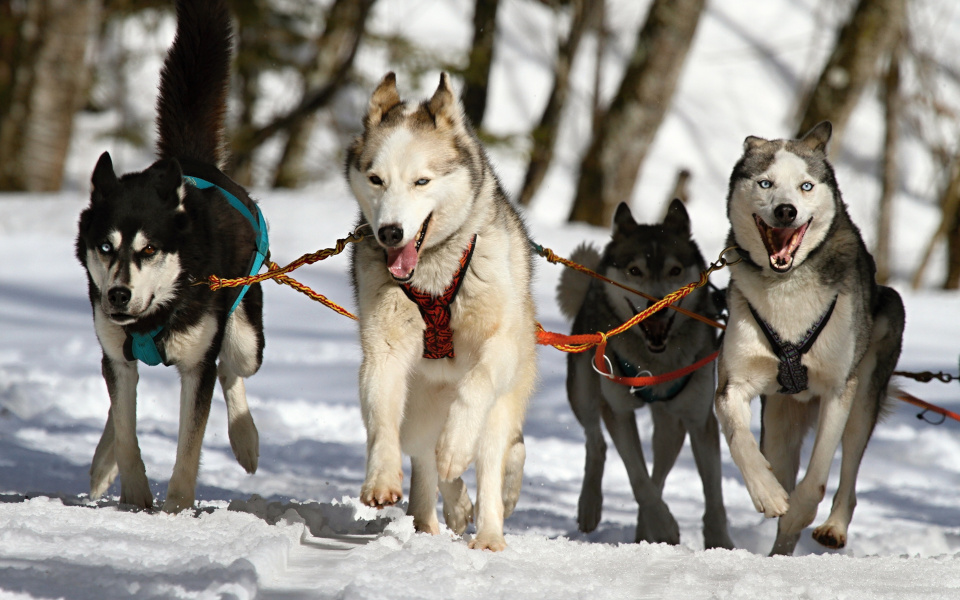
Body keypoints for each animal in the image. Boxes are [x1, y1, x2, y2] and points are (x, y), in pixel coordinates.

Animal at [74, 0, 266, 512]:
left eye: (150, 248)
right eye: (106, 247)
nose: (118, 295)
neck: (154, 316)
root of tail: (192, 162)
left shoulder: (197, 366)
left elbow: (190, 445)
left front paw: (177, 507)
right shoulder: (117, 354)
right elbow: (126, 429)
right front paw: (135, 497)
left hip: (245, 338)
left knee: (232, 369)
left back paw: (246, 440)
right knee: (116, 403)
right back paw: (102, 464)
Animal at [344, 72, 540, 552]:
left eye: (422, 181)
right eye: (375, 179)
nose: (390, 232)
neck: (433, 274)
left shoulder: (498, 347)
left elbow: (476, 387)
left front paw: (455, 446)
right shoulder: (384, 350)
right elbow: (381, 419)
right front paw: (381, 478)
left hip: (503, 401)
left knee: (492, 457)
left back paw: (488, 532)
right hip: (418, 408)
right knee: (426, 460)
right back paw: (439, 515)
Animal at [560, 202, 732, 548]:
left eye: (675, 271)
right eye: (634, 271)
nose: (658, 306)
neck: (655, 362)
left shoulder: (699, 419)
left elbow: (713, 494)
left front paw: (720, 542)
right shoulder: (618, 411)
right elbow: (638, 478)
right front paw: (664, 525)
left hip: (671, 424)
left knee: (660, 471)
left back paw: (644, 531)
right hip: (583, 391)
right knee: (596, 442)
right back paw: (590, 506)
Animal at [712, 123, 908, 556]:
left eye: (805, 186)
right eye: (765, 183)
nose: (786, 210)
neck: (787, 287)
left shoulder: (838, 389)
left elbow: (816, 477)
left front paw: (799, 511)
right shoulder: (733, 384)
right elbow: (740, 440)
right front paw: (767, 493)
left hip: (864, 393)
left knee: (848, 471)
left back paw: (832, 527)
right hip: (778, 421)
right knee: (780, 461)